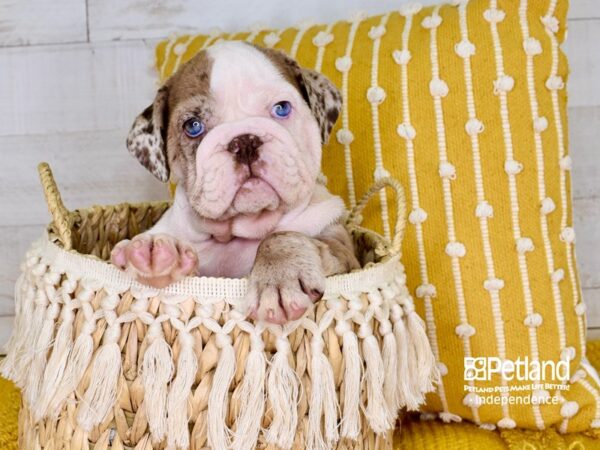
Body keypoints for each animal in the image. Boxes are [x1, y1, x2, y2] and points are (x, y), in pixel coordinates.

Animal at [110, 41, 358, 324]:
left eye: (281, 108)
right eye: (193, 126)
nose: (244, 141)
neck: (242, 230)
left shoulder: (343, 251)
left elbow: (281, 236)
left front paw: (279, 276)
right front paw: (159, 250)